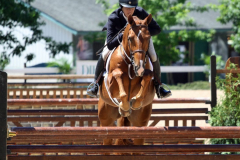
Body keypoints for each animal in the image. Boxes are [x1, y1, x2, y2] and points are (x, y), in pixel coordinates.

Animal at [98, 14, 155, 154]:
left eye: (148, 38)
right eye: (130, 38)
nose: (139, 67)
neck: (130, 63)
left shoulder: (146, 74)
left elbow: (148, 75)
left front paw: (136, 102)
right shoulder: (111, 82)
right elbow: (118, 74)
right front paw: (124, 105)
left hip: (140, 123)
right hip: (106, 120)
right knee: (106, 143)